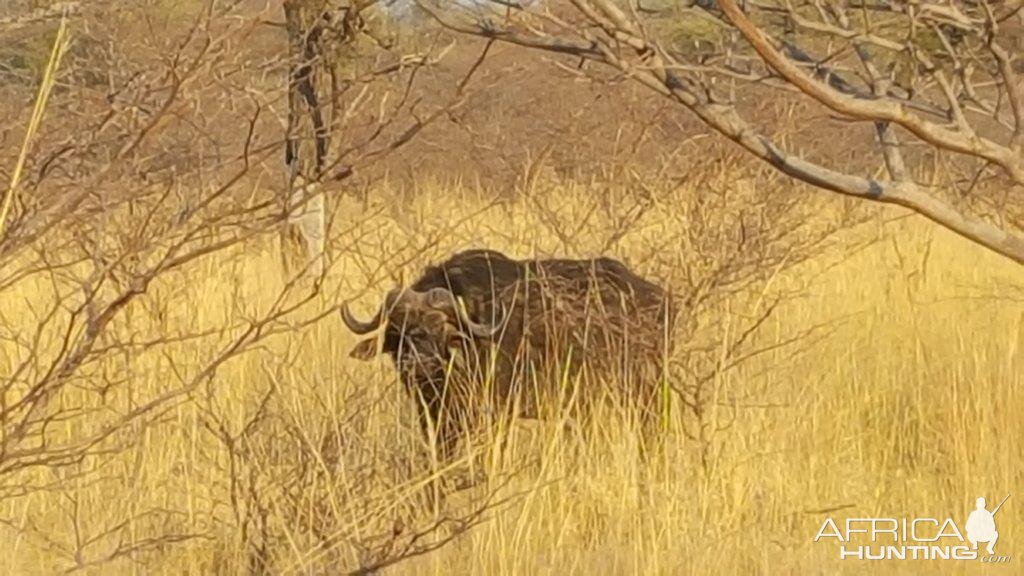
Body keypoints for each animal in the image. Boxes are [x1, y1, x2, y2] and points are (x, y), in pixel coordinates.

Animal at [344, 247, 675, 453]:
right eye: (396, 332)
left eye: (441, 328)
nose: (416, 362)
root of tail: (659, 297)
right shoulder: (436, 420)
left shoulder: (496, 415)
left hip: (645, 395)